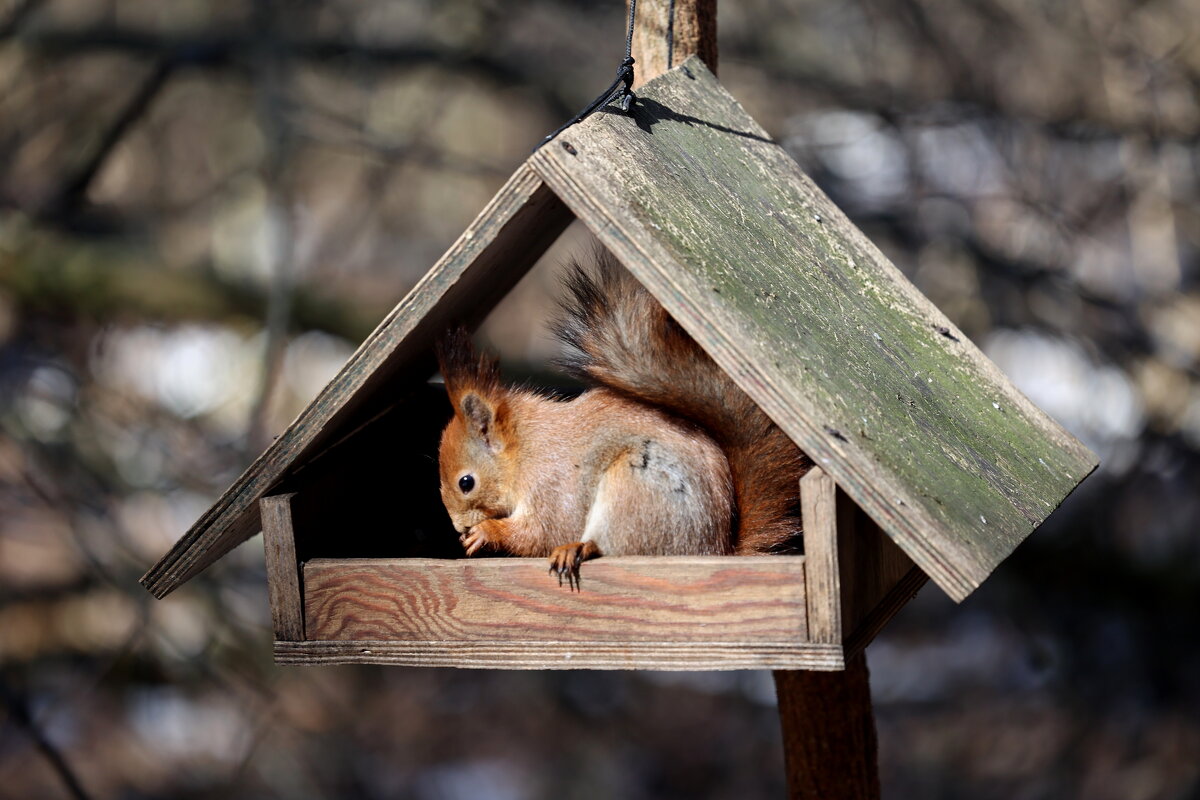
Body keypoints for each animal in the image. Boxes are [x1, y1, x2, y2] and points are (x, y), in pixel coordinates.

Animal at [434, 250, 806, 587]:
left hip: (636, 488)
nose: (458, 527)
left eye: (466, 482)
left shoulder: (551, 485)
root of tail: (715, 550)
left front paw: (485, 531)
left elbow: (541, 532)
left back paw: (578, 547)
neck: (525, 448)